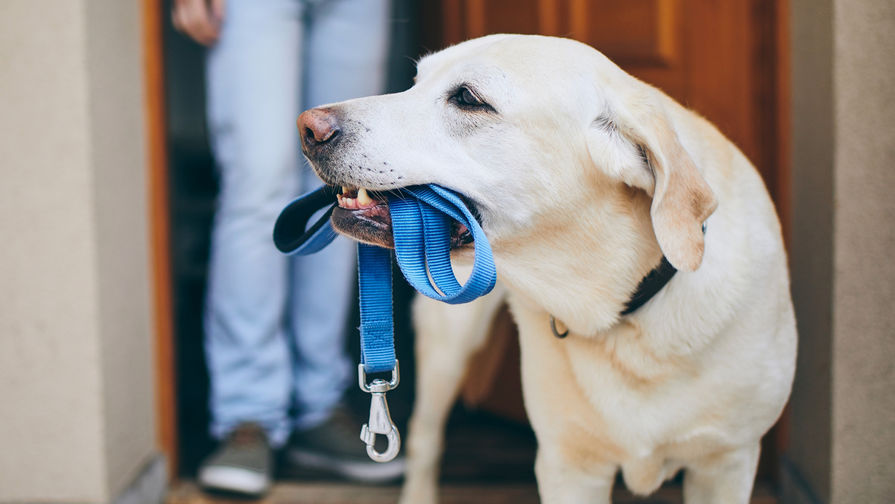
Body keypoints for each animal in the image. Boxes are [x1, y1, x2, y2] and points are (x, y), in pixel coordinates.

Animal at [298, 34, 796, 504]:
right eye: (416, 82)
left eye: (468, 99)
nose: (307, 127)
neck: (622, 305)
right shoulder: (567, 467)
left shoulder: (727, 462)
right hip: (447, 342)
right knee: (424, 439)